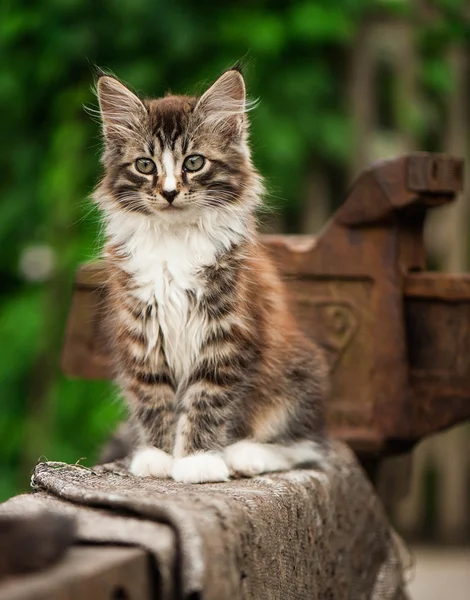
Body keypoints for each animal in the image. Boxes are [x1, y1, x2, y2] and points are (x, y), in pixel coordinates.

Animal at [93, 68, 328, 486]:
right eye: (145, 166)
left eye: (194, 162)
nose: (169, 192)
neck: (174, 241)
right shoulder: (142, 331)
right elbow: (153, 398)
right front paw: (158, 455)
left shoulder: (226, 334)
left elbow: (207, 401)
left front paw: (197, 461)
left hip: (298, 375)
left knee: (306, 447)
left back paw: (244, 455)